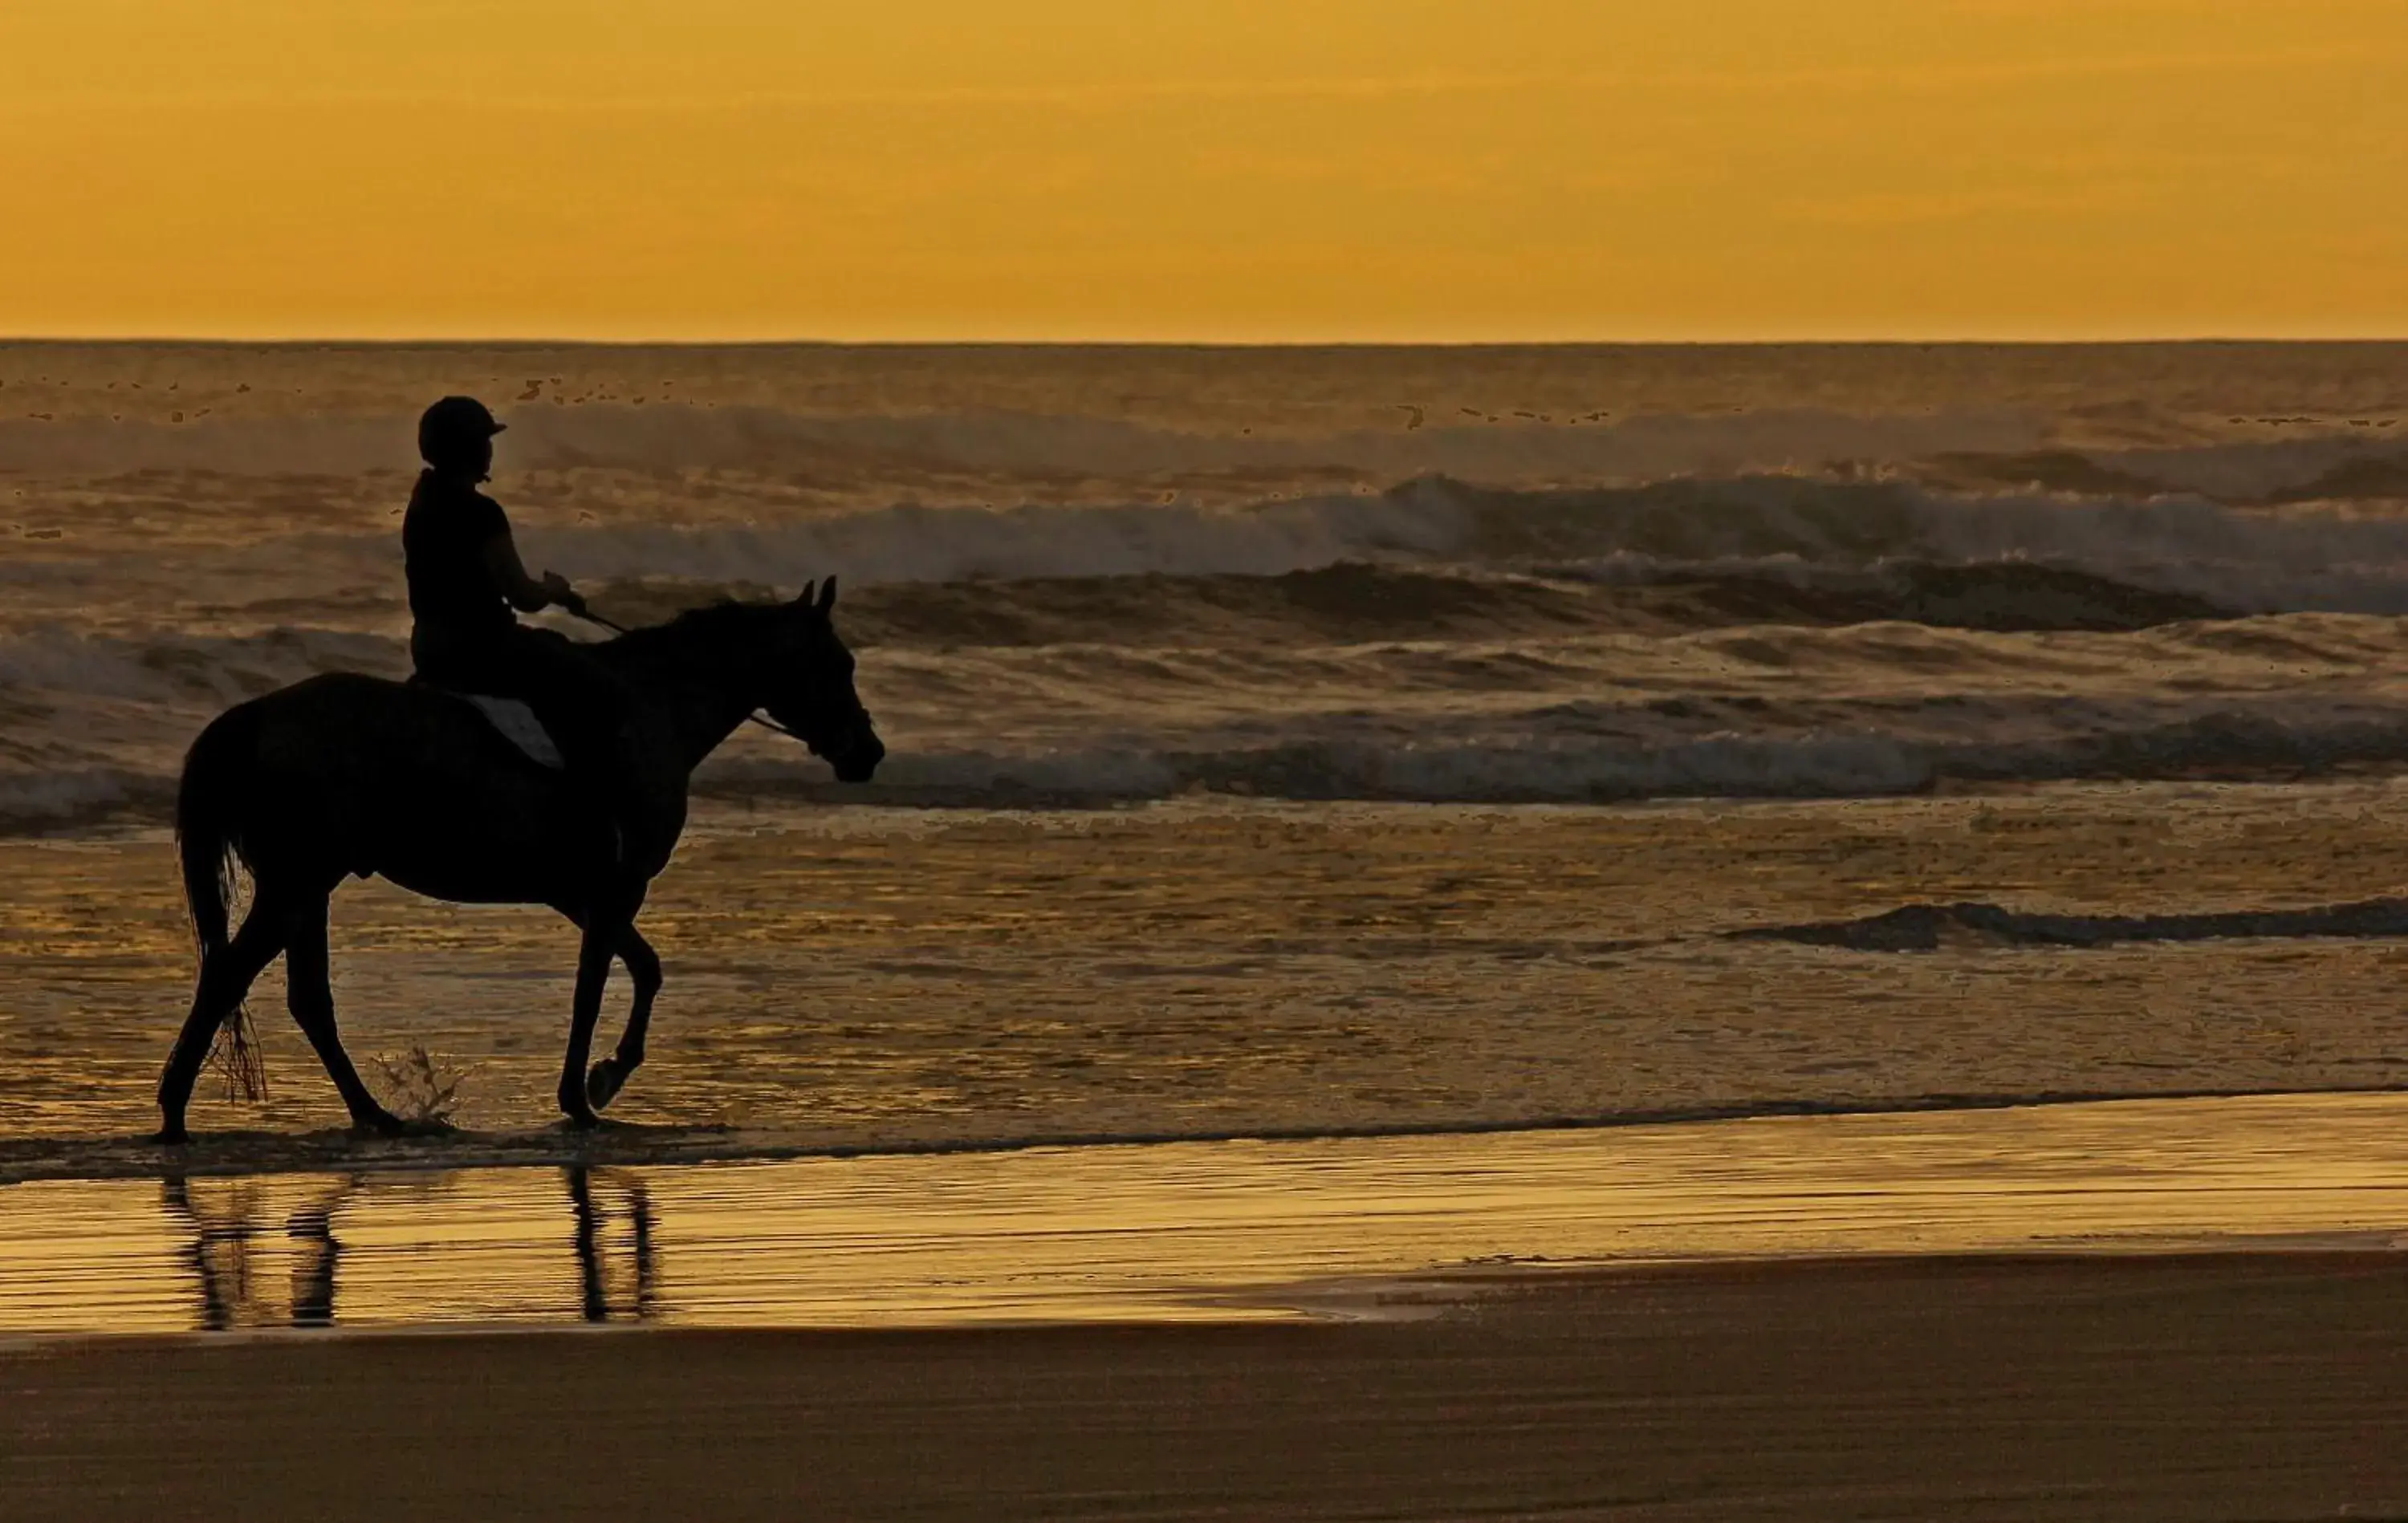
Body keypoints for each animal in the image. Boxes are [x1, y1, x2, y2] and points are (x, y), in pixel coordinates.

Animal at [157, 579, 886, 1140]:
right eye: (837, 665)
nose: (868, 752)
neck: (655, 706)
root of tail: (255, 718)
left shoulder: (584, 893)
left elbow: (642, 969)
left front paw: (603, 1078)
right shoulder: (617, 889)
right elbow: (596, 989)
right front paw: (588, 1094)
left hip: (307, 889)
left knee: (305, 998)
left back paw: (372, 1117)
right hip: (298, 883)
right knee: (231, 978)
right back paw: (175, 1114)